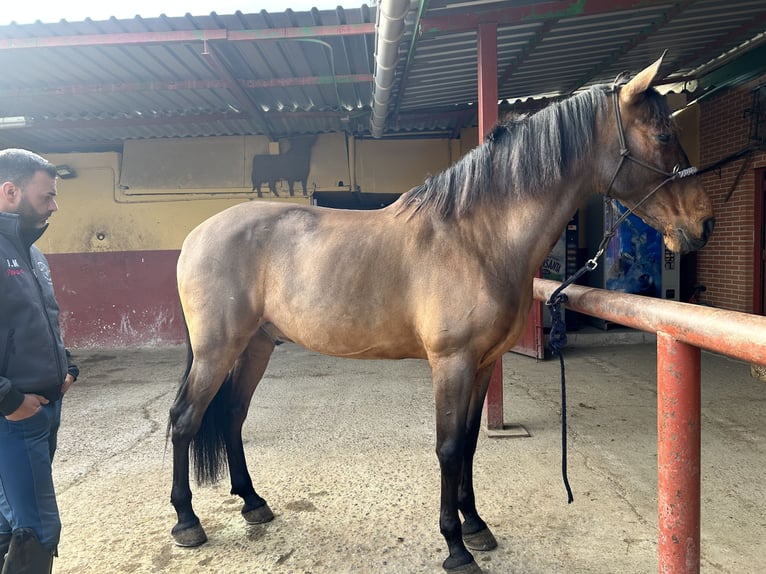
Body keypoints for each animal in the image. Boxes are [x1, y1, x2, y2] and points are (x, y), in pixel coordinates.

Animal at [170, 55, 720, 574]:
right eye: (664, 135)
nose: (705, 223)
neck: (477, 239)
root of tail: (197, 236)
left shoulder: (482, 364)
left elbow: (472, 443)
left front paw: (476, 524)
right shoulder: (452, 363)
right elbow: (449, 448)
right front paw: (456, 547)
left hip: (257, 345)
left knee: (233, 416)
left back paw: (253, 502)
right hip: (218, 350)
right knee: (185, 420)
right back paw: (187, 521)